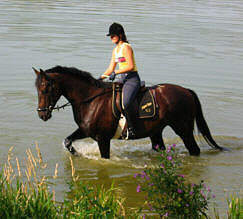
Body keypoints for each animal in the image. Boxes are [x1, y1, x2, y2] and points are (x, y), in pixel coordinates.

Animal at [33, 66, 227, 158]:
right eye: (37, 89)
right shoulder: (85, 130)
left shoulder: (103, 139)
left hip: (183, 129)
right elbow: (67, 141)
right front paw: (77, 154)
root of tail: (186, 91)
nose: (42, 114)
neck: (90, 99)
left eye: (45, 89)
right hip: (156, 131)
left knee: (194, 150)